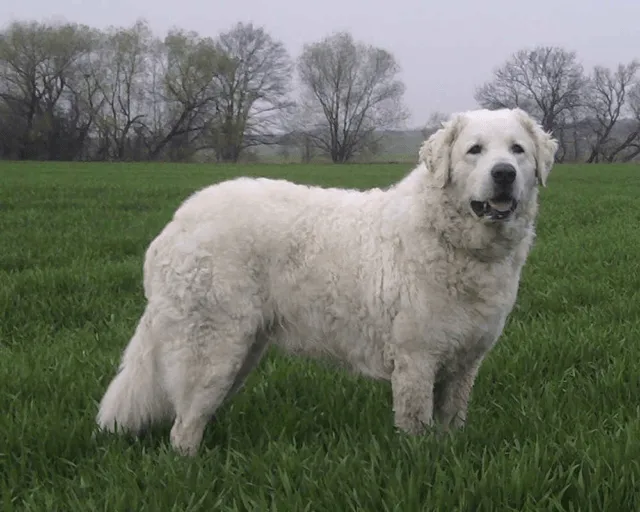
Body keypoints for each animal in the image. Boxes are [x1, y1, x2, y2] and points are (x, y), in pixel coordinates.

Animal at [95, 106, 556, 454]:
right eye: (474, 150)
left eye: (517, 150)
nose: (504, 173)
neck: (451, 237)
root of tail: (178, 221)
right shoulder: (416, 359)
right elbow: (416, 428)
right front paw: (422, 462)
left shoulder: (464, 363)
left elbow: (451, 423)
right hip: (212, 349)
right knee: (183, 427)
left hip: (242, 350)